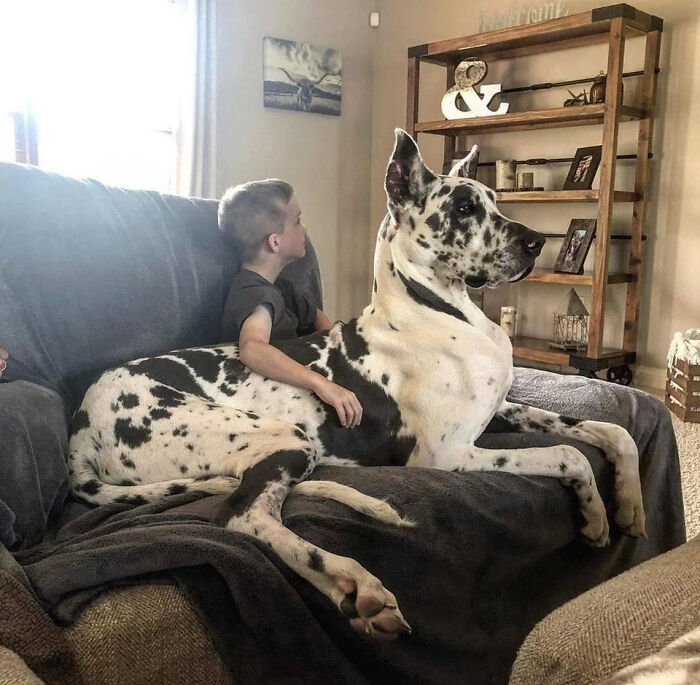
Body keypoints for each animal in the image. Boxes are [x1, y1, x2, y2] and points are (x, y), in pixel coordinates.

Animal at [69, 130, 644, 640]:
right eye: (462, 209)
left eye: (493, 201)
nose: (537, 241)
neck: (435, 311)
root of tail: (81, 426)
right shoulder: (445, 455)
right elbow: (568, 453)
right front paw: (595, 515)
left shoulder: (503, 409)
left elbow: (609, 432)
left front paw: (627, 504)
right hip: (282, 438)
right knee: (243, 518)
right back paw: (353, 581)